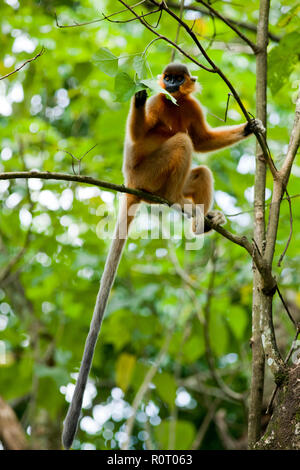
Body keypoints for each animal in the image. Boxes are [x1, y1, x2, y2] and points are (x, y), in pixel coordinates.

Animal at [61, 62, 264, 448]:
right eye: (166, 79)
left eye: (177, 79)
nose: (169, 84)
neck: (176, 104)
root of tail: (131, 186)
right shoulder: (159, 104)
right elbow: (146, 137)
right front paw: (137, 98)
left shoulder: (190, 106)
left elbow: (202, 140)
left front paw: (250, 127)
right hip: (147, 175)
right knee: (180, 143)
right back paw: (178, 204)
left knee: (199, 166)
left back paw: (200, 219)